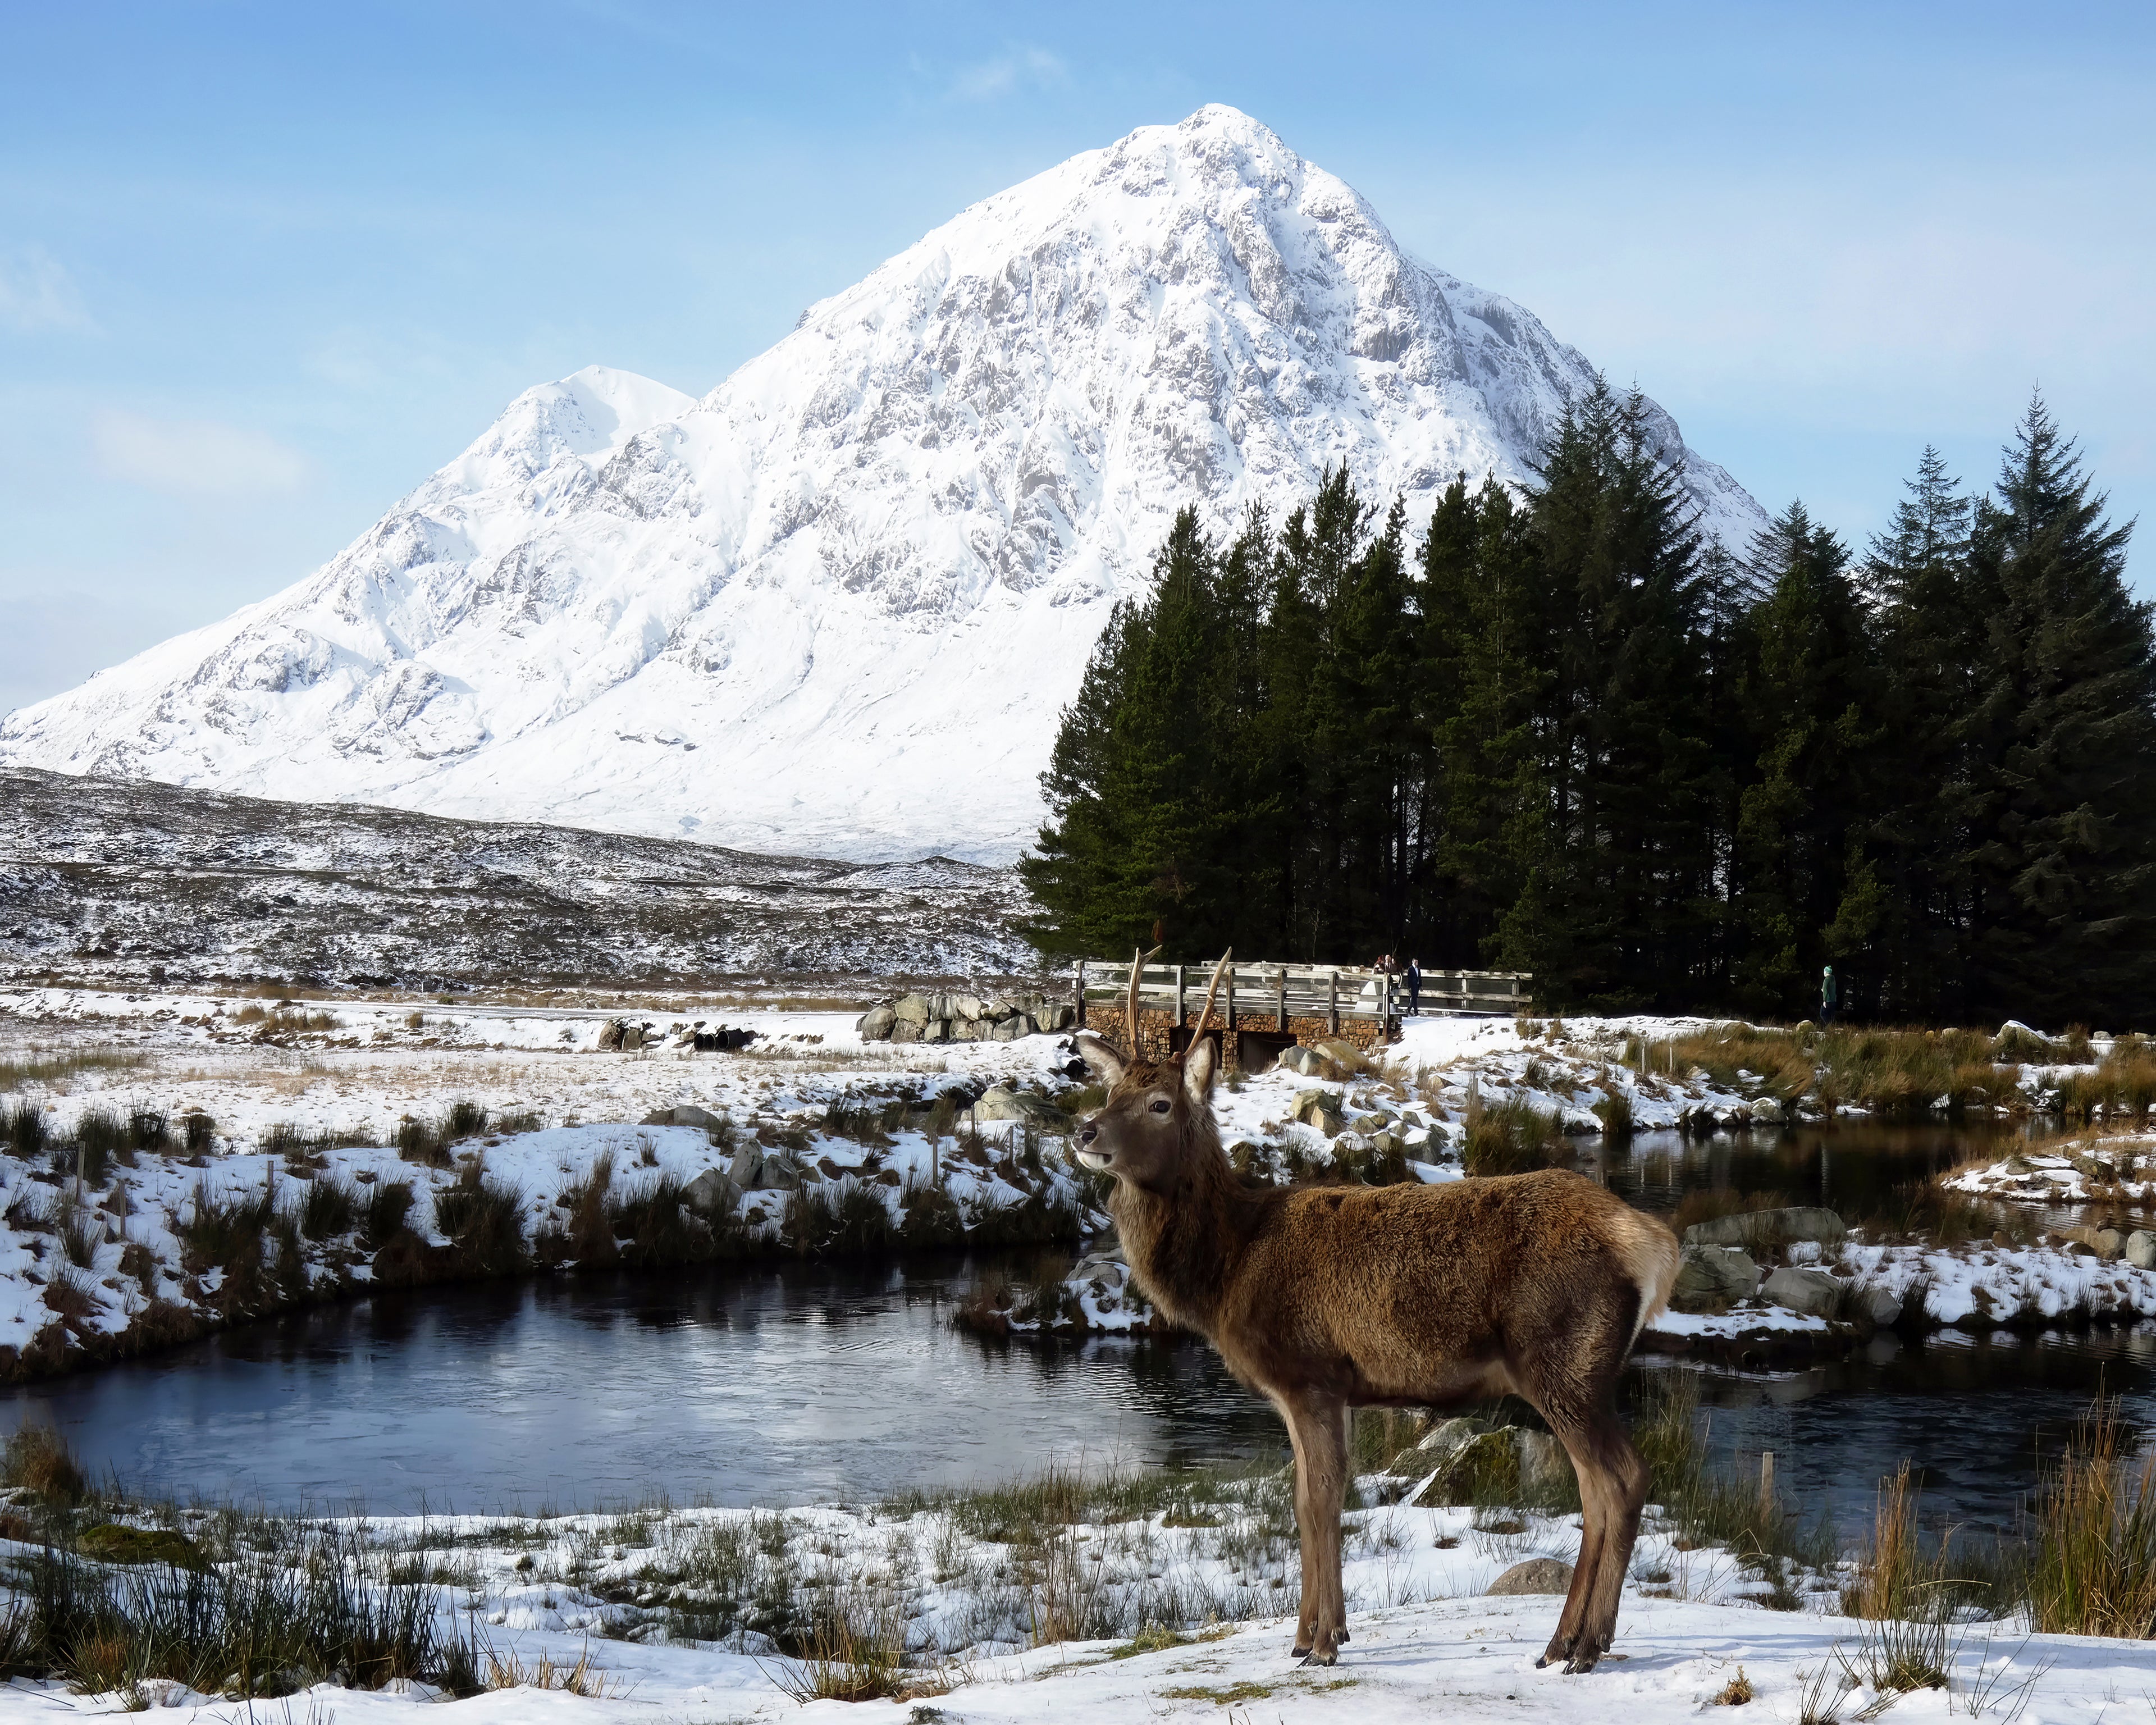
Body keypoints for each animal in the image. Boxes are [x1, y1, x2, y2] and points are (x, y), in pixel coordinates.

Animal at [1072, 950, 1679, 1673]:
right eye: (1112, 1093)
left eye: (1160, 1103)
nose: (1085, 1131)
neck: (1227, 1271)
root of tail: (1654, 1245)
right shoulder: (1319, 1391)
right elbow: (1310, 1499)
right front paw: (1312, 1633)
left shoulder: (1308, 1374)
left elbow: (1319, 1501)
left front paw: (1321, 1641)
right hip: (1577, 1374)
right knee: (1595, 1488)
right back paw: (1564, 1640)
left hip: (1564, 1360)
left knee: (1622, 1480)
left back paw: (1585, 1644)